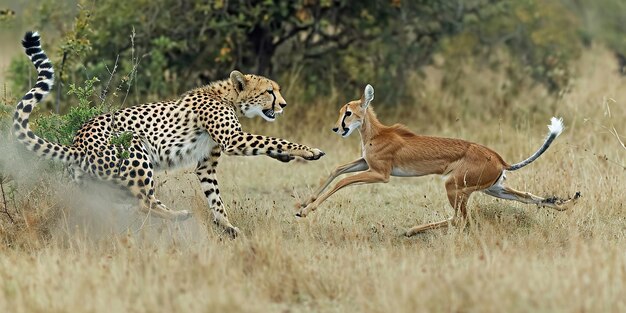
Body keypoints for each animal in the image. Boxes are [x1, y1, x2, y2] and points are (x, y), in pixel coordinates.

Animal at [12, 31, 324, 236]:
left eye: (278, 91)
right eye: (270, 92)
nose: (283, 104)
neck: (228, 97)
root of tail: (76, 142)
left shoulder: (206, 165)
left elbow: (216, 197)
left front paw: (227, 226)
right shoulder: (234, 140)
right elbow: (274, 139)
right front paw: (310, 150)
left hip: (100, 185)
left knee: (133, 202)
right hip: (136, 150)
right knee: (143, 202)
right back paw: (178, 215)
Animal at [294, 84, 576, 235]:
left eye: (349, 112)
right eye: (342, 111)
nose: (336, 128)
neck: (375, 133)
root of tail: (499, 159)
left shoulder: (380, 174)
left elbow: (343, 181)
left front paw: (306, 210)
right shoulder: (366, 163)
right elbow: (337, 169)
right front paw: (303, 204)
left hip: (454, 186)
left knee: (459, 219)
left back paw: (410, 231)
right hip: (493, 189)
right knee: (527, 197)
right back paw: (566, 203)